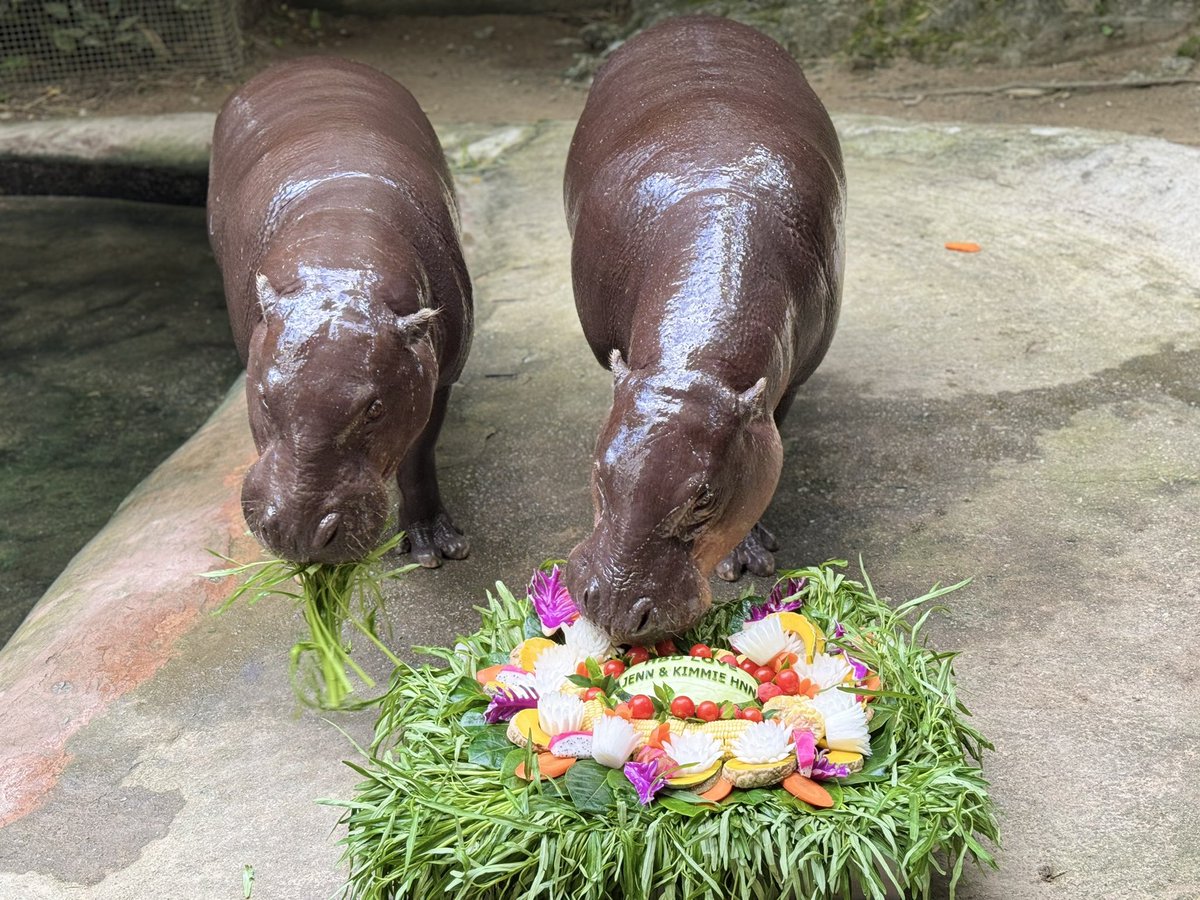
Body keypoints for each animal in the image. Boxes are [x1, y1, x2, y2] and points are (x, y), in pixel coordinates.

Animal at [207, 57, 472, 567]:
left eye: (375, 409)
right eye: (263, 397)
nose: (298, 529)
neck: (341, 255)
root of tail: (309, 60)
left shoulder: (436, 376)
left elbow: (418, 456)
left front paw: (436, 546)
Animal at [563, 16, 845, 641]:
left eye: (702, 500)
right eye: (599, 471)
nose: (614, 605)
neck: (692, 364)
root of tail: (694, 19)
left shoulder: (778, 394)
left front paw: (749, 555)